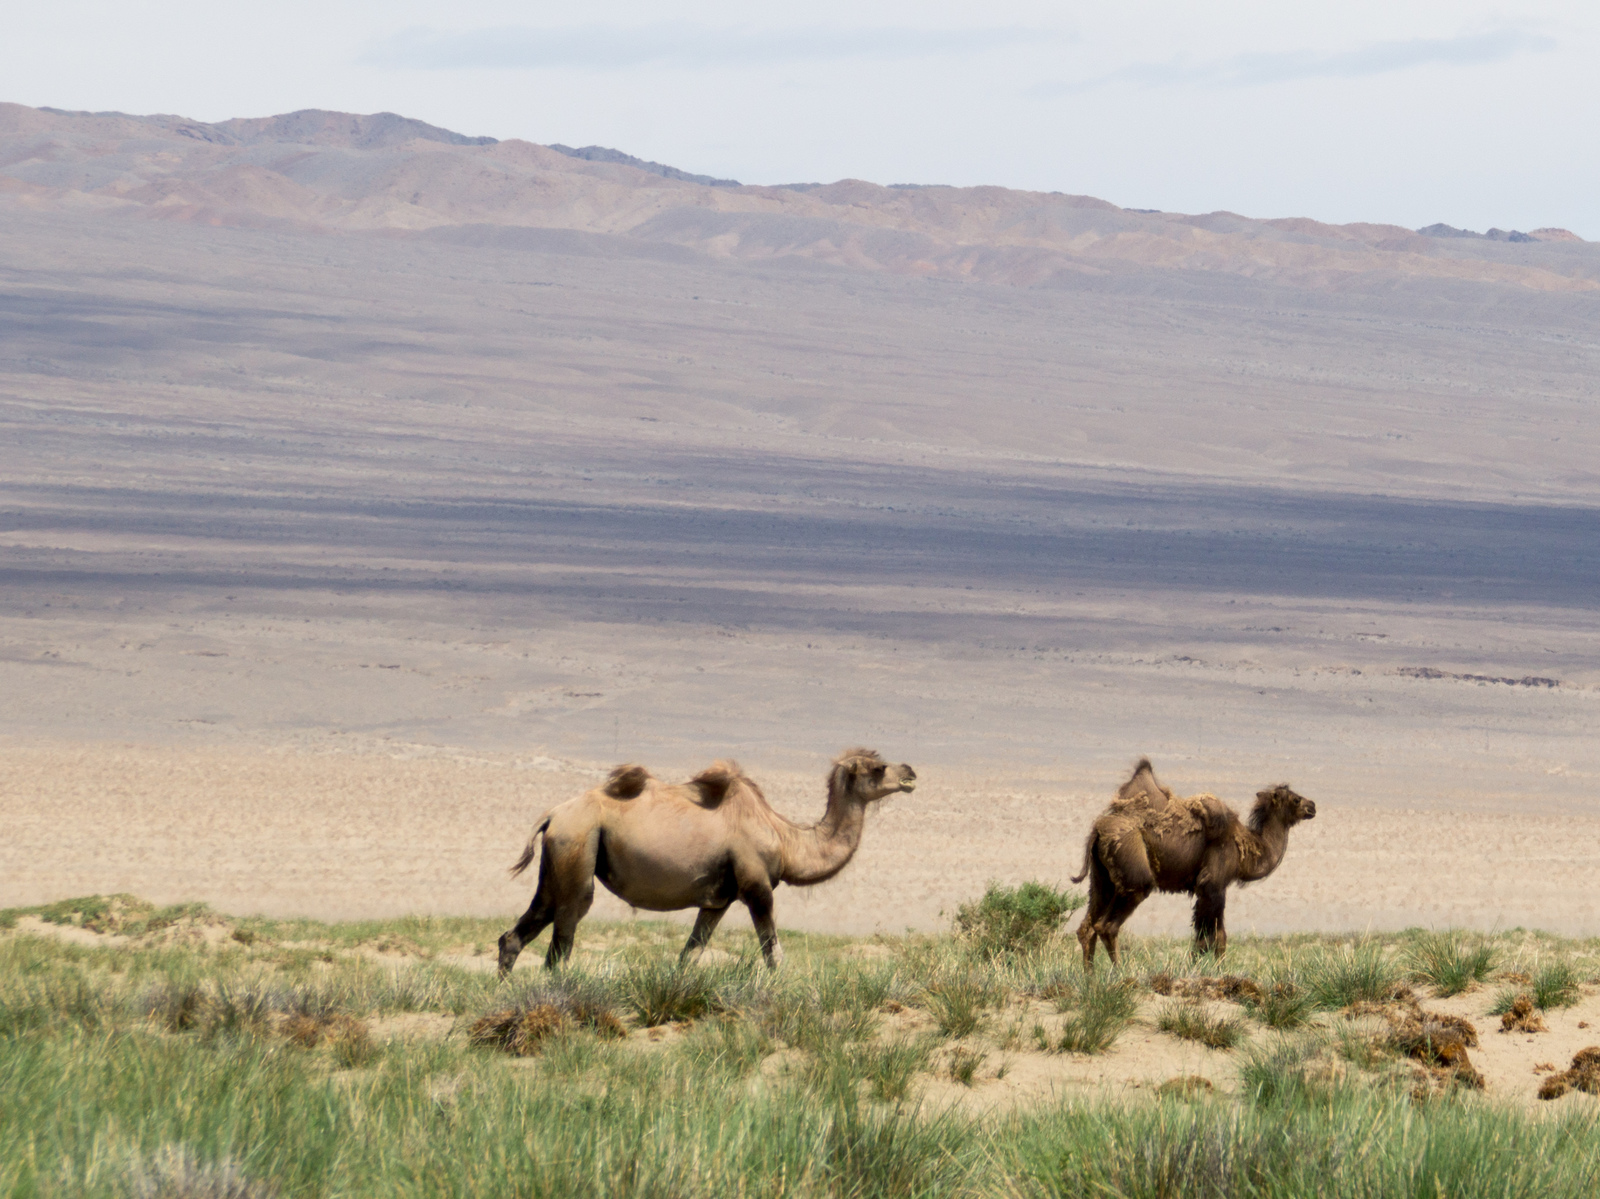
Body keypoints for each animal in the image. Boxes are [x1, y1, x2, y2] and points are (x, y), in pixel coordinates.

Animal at [492, 749, 921, 973]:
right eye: (878, 768)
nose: (911, 773)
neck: (784, 839)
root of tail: (552, 815)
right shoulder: (756, 886)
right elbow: (774, 955)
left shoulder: (717, 900)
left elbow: (690, 954)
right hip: (579, 846)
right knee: (563, 938)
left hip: (559, 859)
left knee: (521, 929)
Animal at [1068, 761, 1318, 966]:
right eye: (1295, 798)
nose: (1313, 806)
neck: (1247, 849)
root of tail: (1098, 830)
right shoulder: (1212, 884)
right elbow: (1208, 938)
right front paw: (1202, 970)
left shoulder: (1210, 889)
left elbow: (1218, 937)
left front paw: (1216, 970)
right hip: (1133, 872)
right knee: (1107, 925)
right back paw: (1120, 973)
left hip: (1102, 878)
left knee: (1086, 927)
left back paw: (1089, 978)